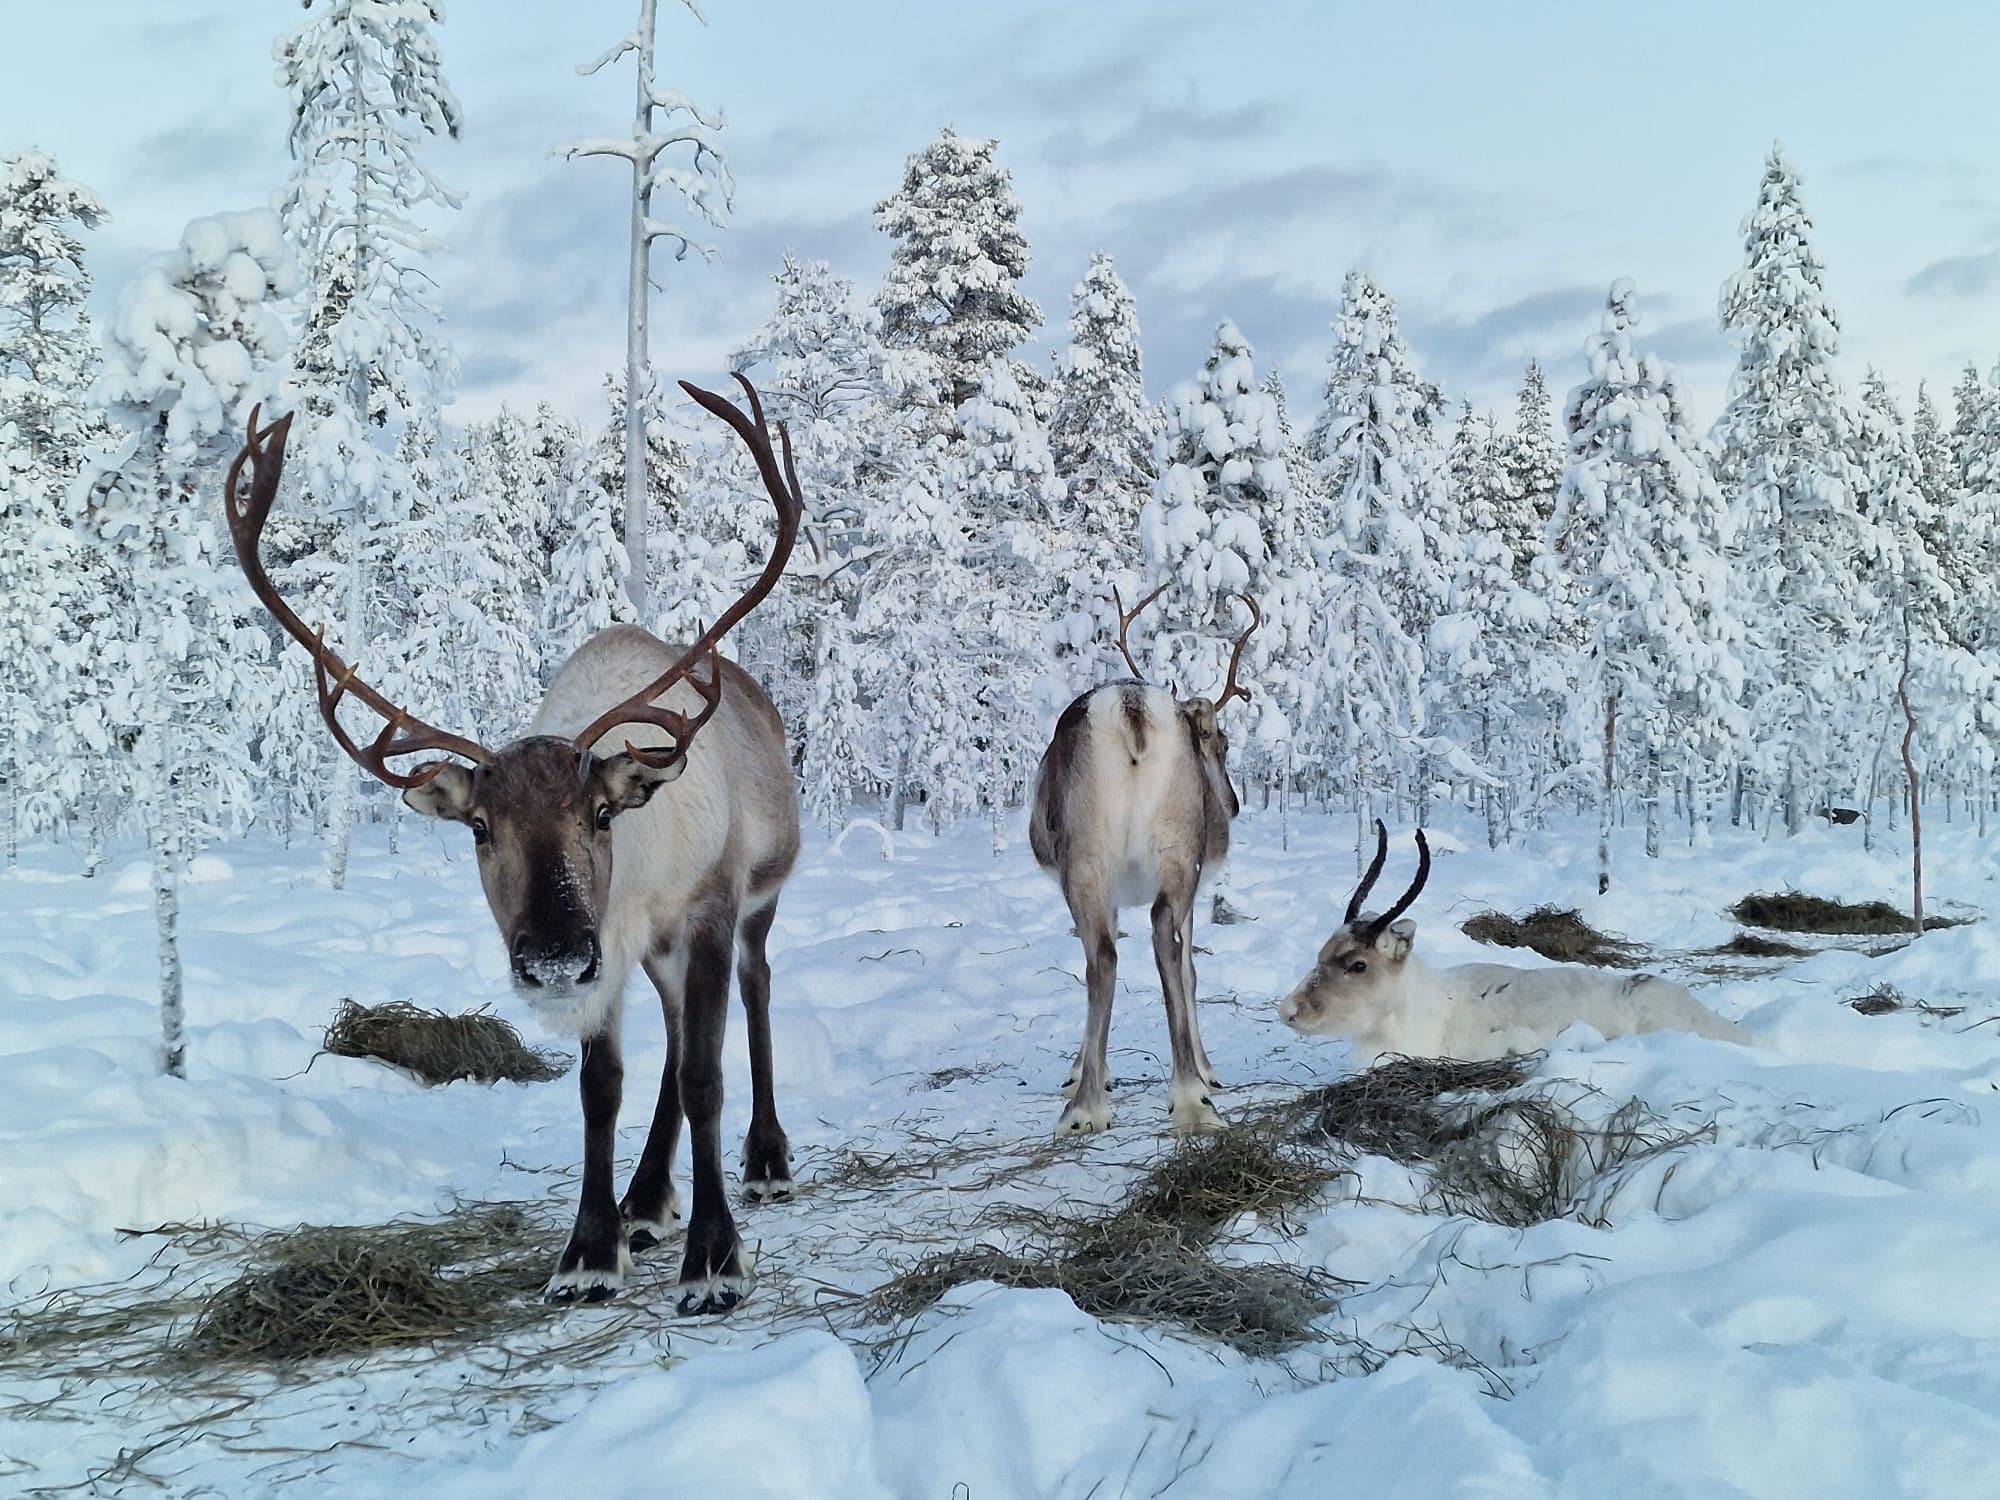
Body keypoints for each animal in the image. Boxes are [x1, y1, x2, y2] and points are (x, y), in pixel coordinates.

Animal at [221, 376, 805, 1314]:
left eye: (600, 814)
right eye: (478, 827)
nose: (553, 957)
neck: (636, 877)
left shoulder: (706, 910)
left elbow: (704, 1078)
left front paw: (715, 1261)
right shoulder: (616, 949)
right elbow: (603, 1088)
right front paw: (592, 1250)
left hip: (761, 898)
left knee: (754, 993)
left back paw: (767, 1160)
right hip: (648, 955)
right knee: (677, 1032)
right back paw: (647, 1201)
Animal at [1029, 583, 1260, 1136]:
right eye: (1221, 743)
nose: (1232, 806)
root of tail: (1131, 708)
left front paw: (1083, 1071)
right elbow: (1191, 969)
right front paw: (1206, 1070)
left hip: (1088, 861)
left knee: (1105, 958)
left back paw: (1087, 1107)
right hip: (1173, 853)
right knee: (1160, 944)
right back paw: (1191, 1099)